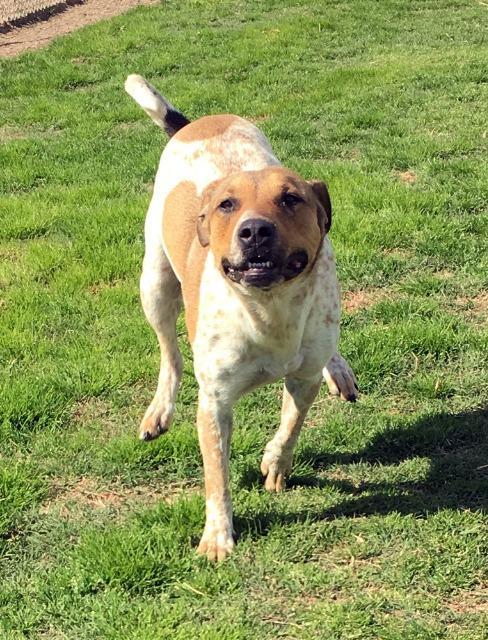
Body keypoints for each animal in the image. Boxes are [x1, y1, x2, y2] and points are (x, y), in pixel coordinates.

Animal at [124, 76, 356, 560]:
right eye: (226, 206)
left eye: (291, 199)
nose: (254, 230)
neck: (269, 309)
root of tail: (192, 124)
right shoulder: (214, 403)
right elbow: (218, 475)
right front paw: (217, 535)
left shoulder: (302, 376)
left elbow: (291, 424)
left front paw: (275, 464)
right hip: (154, 283)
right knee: (170, 353)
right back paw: (159, 409)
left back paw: (339, 368)